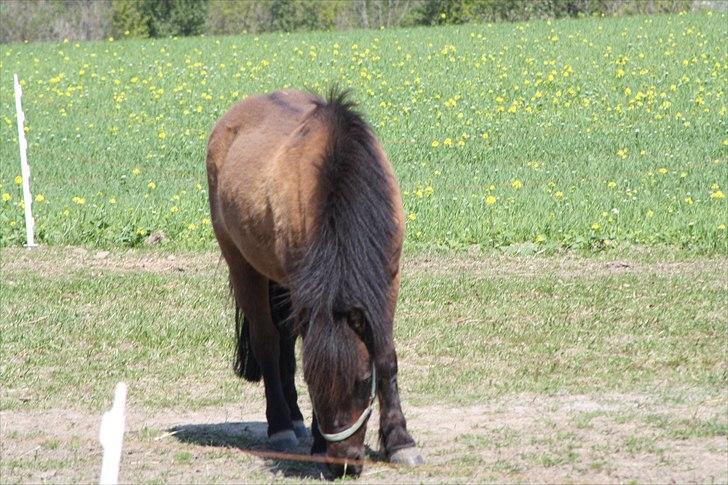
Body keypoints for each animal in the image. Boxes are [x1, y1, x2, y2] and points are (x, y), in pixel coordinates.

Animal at [203, 89, 420, 474]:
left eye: (362, 381)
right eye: (315, 383)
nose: (343, 464)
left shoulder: (388, 278)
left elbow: (384, 355)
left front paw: (399, 441)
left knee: (285, 341)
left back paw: (294, 417)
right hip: (244, 266)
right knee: (268, 342)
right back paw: (280, 425)